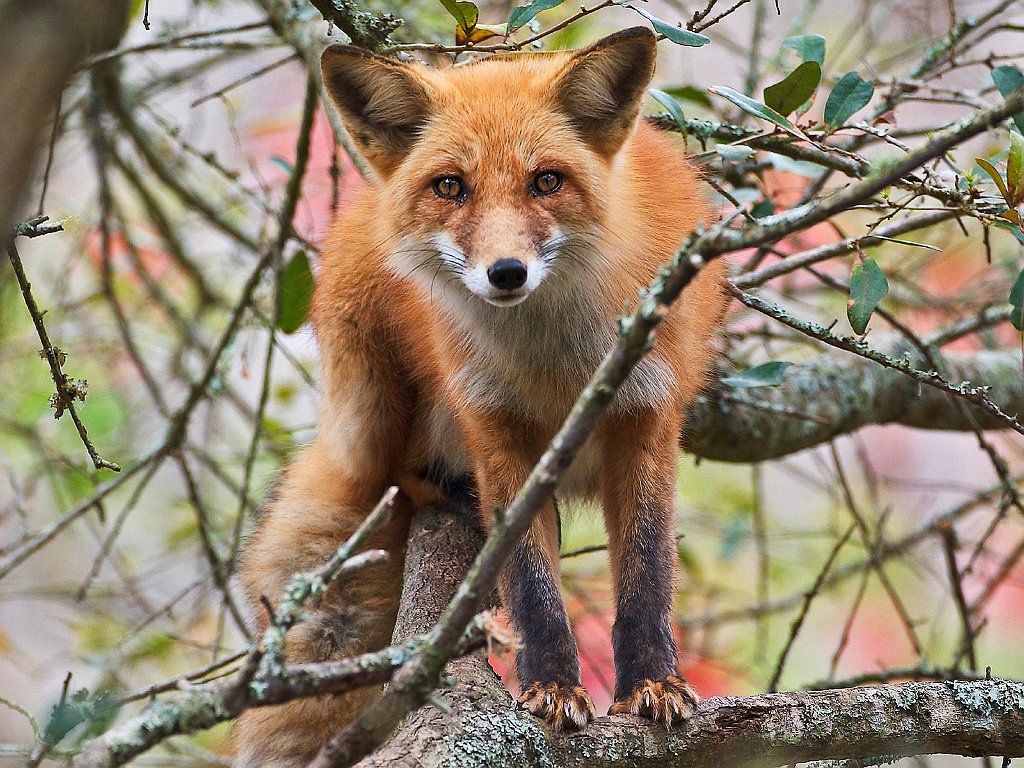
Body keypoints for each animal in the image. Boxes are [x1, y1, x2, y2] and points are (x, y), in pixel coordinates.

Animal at [234, 27, 729, 765]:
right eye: (450, 187)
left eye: (547, 181)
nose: (506, 273)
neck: (557, 367)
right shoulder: (495, 423)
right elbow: (532, 586)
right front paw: (551, 687)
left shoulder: (646, 415)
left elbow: (647, 572)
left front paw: (652, 683)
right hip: (373, 404)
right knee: (401, 475)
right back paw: (450, 493)